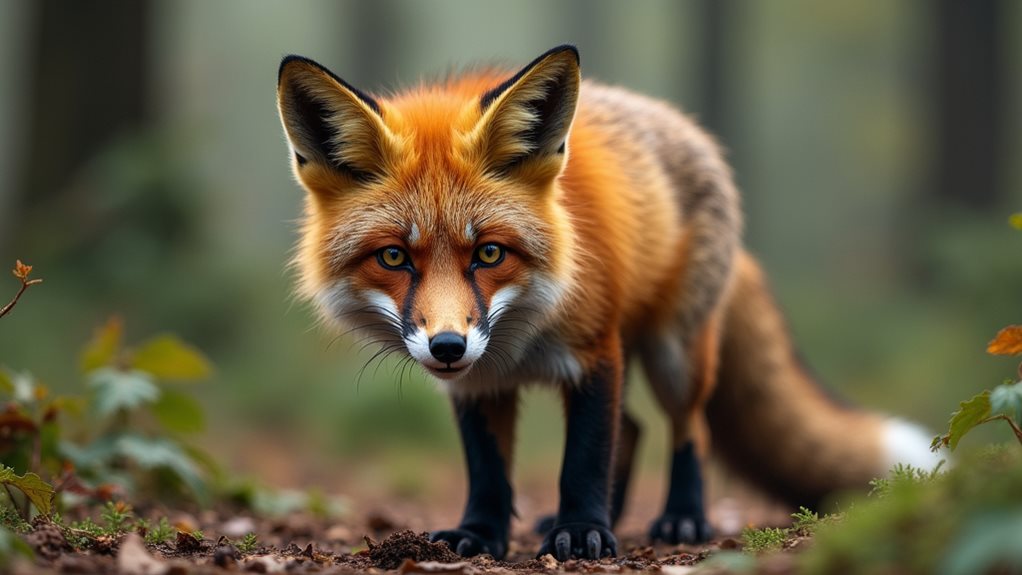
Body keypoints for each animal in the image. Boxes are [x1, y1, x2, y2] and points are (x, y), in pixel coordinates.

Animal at [275, 45, 940, 560]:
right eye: (393, 257)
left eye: (489, 253)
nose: (446, 346)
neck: (520, 334)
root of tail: (688, 129)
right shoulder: (478, 383)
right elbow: (488, 469)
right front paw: (481, 534)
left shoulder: (596, 351)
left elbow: (585, 457)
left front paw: (580, 532)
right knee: (637, 428)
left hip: (676, 355)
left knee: (687, 428)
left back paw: (681, 518)